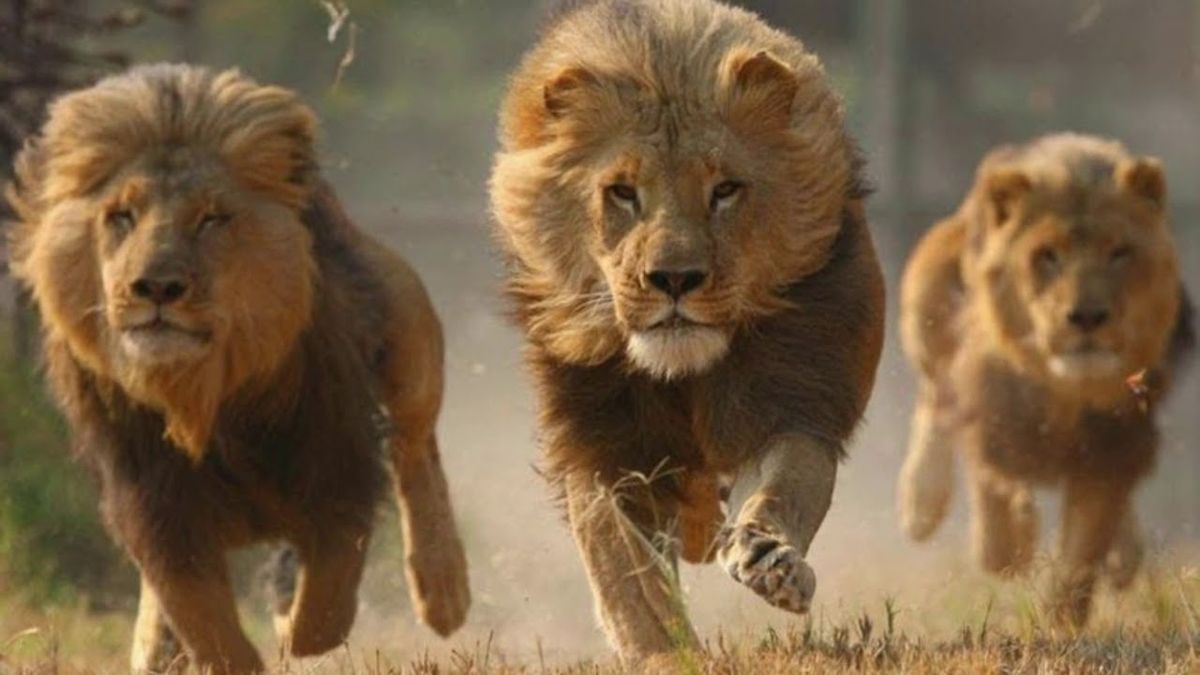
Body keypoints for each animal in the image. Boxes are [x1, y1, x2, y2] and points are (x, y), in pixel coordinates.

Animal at [6, 64, 470, 673]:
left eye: (211, 219)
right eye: (121, 216)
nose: (155, 287)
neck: (204, 396)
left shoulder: (335, 471)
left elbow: (322, 610)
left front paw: (289, 607)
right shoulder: (157, 511)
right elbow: (205, 624)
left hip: (405, 322)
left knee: (417, 449)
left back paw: (444, 590)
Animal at [489, 0, 885, 663]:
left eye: (724, 190)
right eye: (622, 192)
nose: (674, 278)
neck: (681, 370)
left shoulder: (788, 401)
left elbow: (785, 487)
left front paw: (770, 559)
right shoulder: (600, 445)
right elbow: (625, 573)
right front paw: (661, 650)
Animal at [897, 132, 1195, 627]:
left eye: (1120, 252)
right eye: (1047, 257)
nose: (1087, 316)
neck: (1064, 394)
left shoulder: (1113, 447)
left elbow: (1082, 551)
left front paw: (1062, 622)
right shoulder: (991, 412)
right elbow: (993, 485)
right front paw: (1008, 545)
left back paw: (1124, 556)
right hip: (928, 292)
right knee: (934, 399)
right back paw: (921, 503)